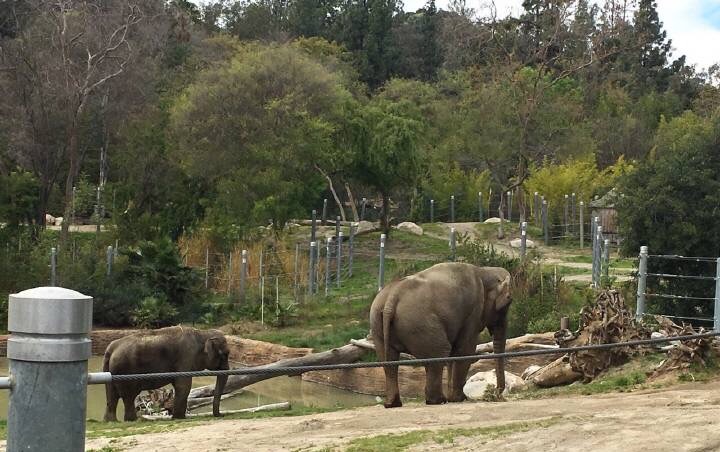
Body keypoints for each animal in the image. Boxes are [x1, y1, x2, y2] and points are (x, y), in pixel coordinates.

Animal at [101, 326, 229, 422]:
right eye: (225, 354)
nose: (221, 415)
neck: (202, 332)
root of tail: (111, 348)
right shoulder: (186, 357)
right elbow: (184, 386)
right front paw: (179, 418)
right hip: (125, 370)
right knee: (129, 396)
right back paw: (133, 420)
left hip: (110, 371)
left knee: (112, 395)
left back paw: (111, 421)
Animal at [372, 262, 512, 406]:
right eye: (508, 300)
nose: (495, 393)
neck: (483, 270)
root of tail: (392, 298)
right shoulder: (473, 311)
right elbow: (464, 350)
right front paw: (458, 398)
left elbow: (455, 352)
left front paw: (454, 398)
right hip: (420, 324)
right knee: (440, 352)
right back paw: (438, 400)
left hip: (379, 325)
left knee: (389, 360)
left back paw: (393, 404)